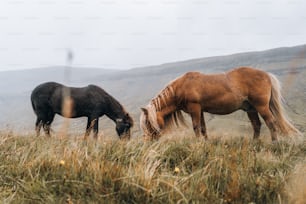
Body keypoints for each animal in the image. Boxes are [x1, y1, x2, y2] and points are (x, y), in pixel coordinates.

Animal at [140, 67, 300, 140]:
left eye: (148, 122)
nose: (148, 141)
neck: (182, 86)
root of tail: (267, 75)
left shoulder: (194, 108)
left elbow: (196, 127)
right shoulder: (200, 110)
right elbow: (203, 128)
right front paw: (205, 143)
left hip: (261, 107)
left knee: (271, 123)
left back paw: (275, 143)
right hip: (251, 109)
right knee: (257, 125)